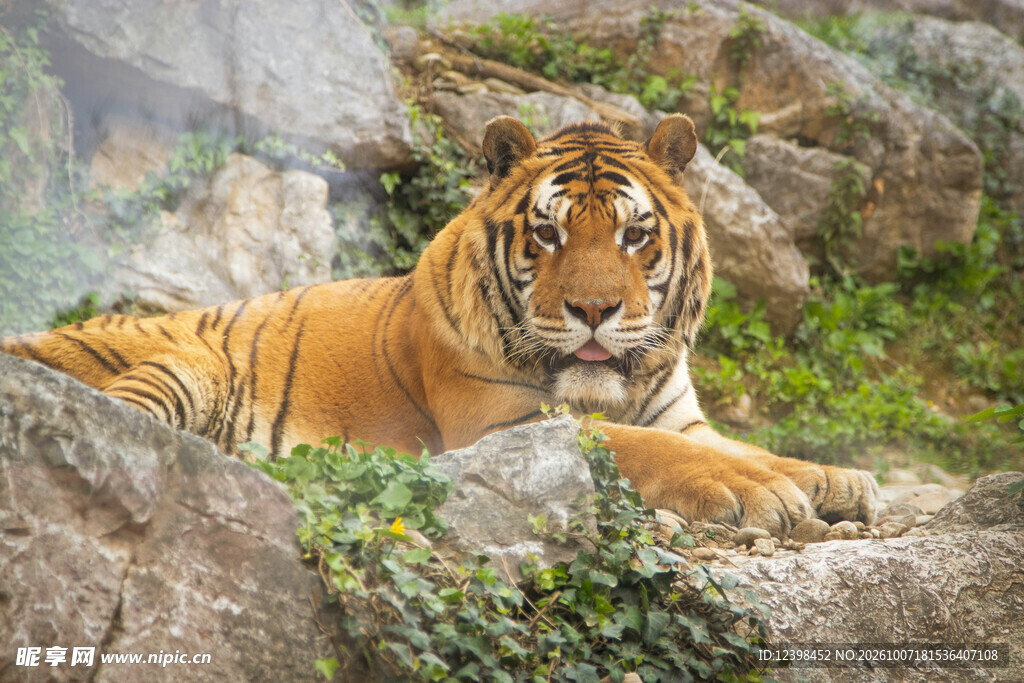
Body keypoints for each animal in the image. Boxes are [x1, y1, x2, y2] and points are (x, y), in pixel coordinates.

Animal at [2, 114, 877, 537]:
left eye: (634, 235)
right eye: (548, 233)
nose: (594, 311)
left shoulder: (681, 414)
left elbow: (748, 445)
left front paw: (833, 478)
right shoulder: (507, 423)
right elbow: (647, 449)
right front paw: (755, 492)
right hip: (186, 363)